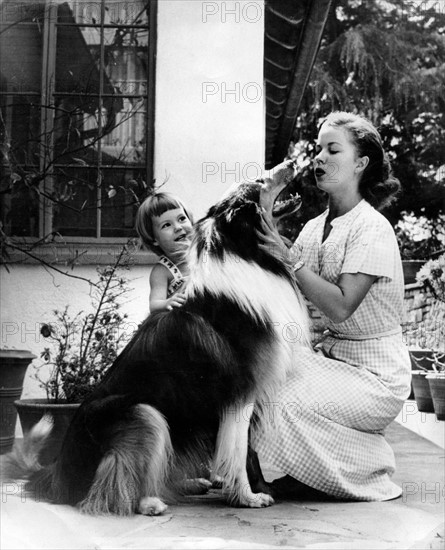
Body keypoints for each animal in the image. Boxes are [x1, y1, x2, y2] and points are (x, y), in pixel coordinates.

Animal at [4, 160, 308, 516]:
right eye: (259, 181)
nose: (292, 162)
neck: (243, 252)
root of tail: (56, 475)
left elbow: (250, 453)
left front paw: (259, 487)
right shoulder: (241, 393)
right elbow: (238, 451)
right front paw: (247, 497)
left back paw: (189, 484)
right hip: (144, 413)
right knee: (112, 487)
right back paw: (149, 502)